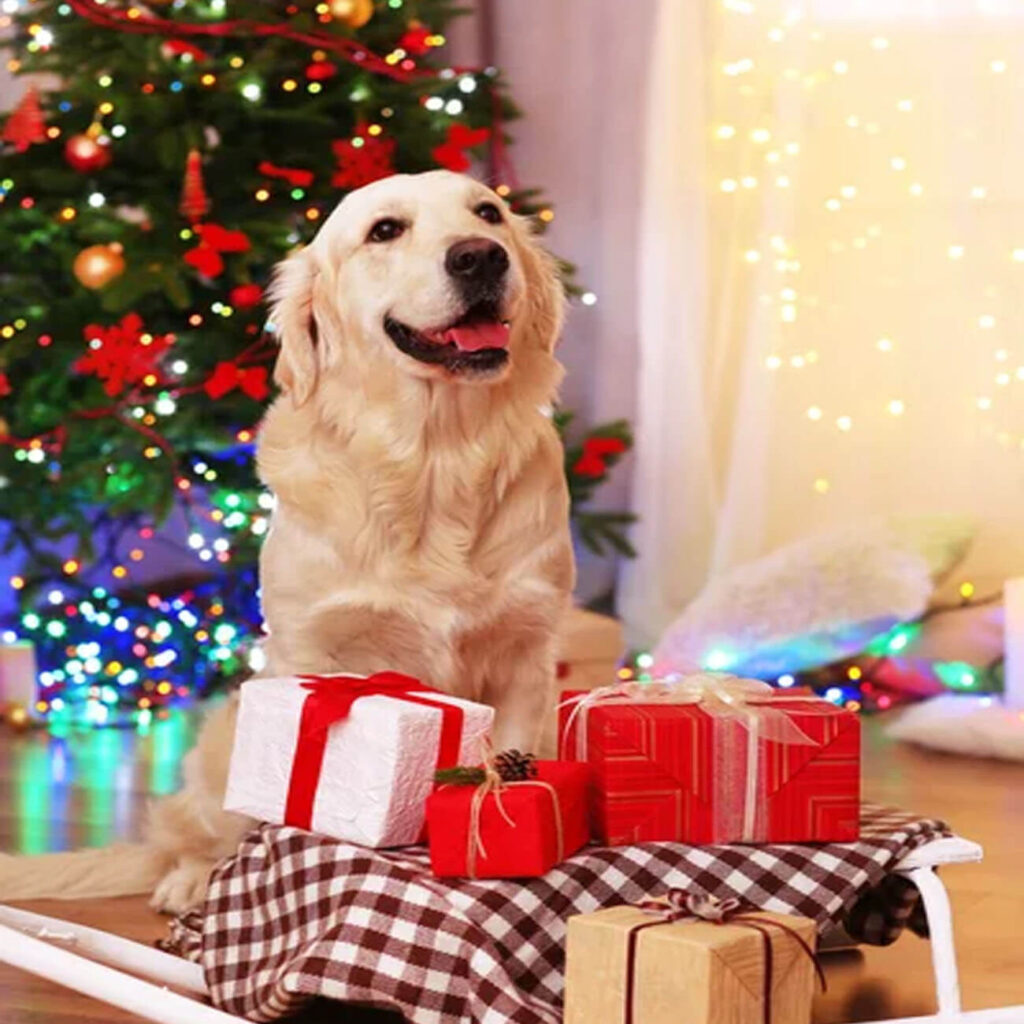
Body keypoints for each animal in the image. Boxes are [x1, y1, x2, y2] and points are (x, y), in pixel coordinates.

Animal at [0, 172, 577, 917]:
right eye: (384, 230)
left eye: (490, 213)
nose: (480, 256)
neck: (434, 462)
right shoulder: (313, 653)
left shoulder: (524, 656)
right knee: (194, 834)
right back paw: (189, 880)